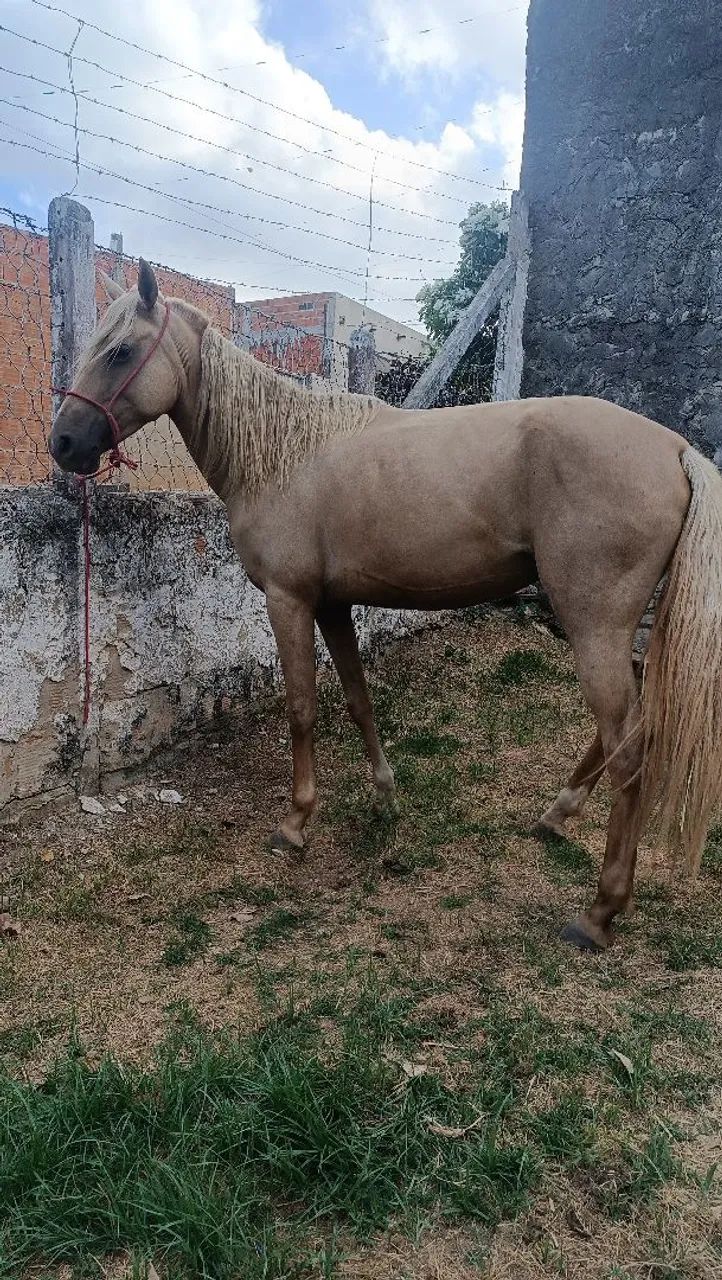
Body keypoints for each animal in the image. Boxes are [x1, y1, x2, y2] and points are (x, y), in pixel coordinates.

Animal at [49, 260, 722, 953]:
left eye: (120, 350)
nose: (63, 442)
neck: (284, 454)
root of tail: (676, 450)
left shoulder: (290, 602)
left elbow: (302, 709)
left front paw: (295, 823)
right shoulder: (333, 606)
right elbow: (357, 700)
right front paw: (385, 795)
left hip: (593, 625)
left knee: (632, 745)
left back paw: (599, 911)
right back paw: (555, 815)